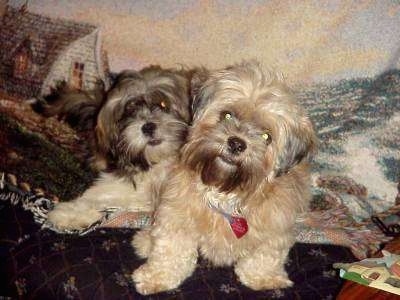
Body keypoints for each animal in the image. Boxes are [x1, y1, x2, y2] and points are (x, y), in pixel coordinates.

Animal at [133, 61, 318, 296]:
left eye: (266, 136)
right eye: (227, 115)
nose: (237, 143)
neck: (224, 191)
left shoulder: (276, 227)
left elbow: (265, 256)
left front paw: (264, 278)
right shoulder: (175, 215)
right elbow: (170, 251)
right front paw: (157, 276)